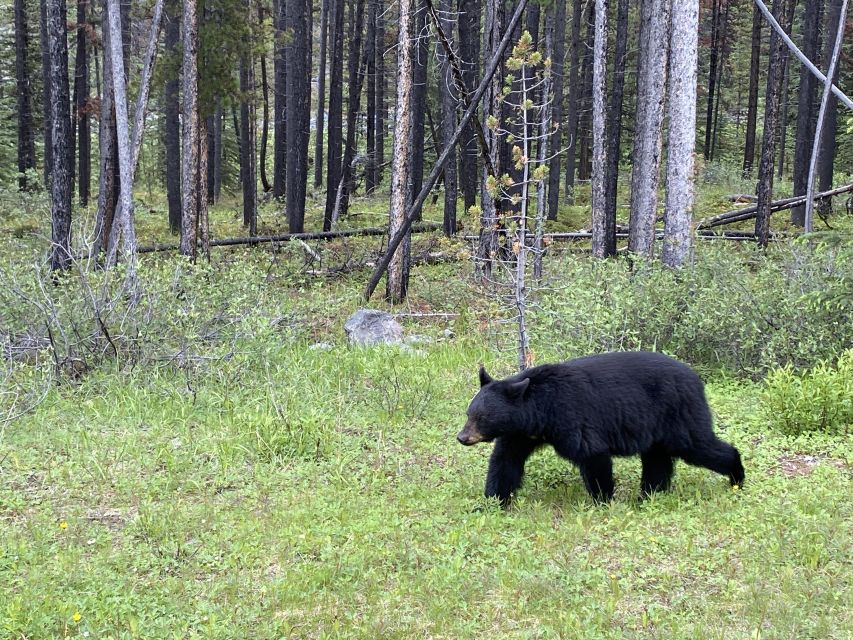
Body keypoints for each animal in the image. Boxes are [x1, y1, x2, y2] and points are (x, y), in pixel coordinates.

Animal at [456, 350, 744, 504]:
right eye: (469, 413)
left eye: (482, 417)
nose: (462, 437)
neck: (540, 409)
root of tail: (696, 378)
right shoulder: (520, 433)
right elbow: (505, 462)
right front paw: (491, 502)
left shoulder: (571, 418)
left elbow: (592, 454)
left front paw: (602, 501)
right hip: (657, 427)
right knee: (657, 460)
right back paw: (648, 495)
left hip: (678, 414)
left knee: (698, 445)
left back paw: (736, 476)